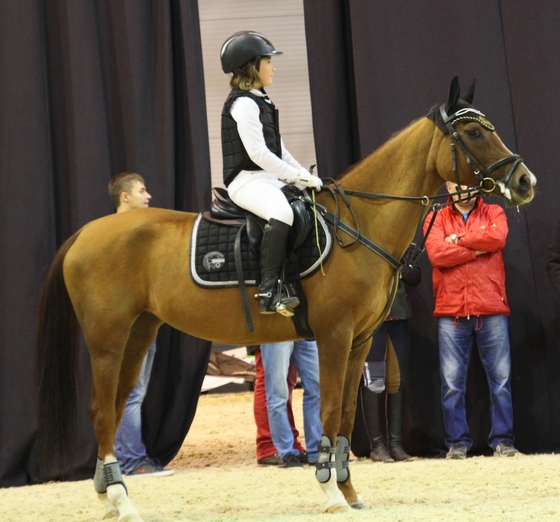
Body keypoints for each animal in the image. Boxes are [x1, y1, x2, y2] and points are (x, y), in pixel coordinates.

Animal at [37, 78, 536, 520]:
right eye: (474, 133)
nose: (526, 181)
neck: (357, 225)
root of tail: (86, 232)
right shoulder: (335, 336)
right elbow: (331, 409)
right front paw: (331, 494)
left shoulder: (359, 342)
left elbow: (346, 414)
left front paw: (349, 491)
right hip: (107, 341)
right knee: (103, 411)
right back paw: (122, 503)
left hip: (138, 335)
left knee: (113, 409)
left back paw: (109, 498)